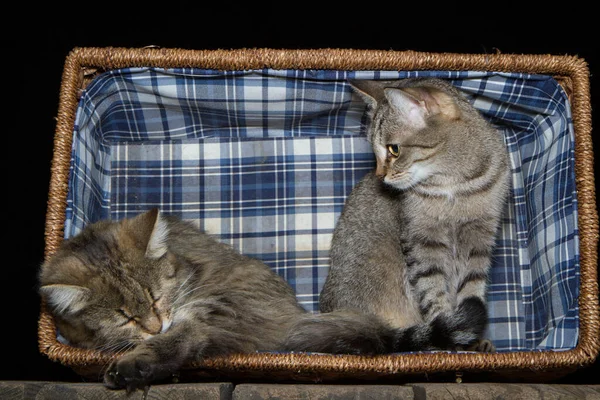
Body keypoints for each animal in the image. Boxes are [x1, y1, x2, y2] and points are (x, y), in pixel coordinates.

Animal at [41, 211, 398, 392]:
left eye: (156, 298)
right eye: (125, 317)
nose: (156, 326)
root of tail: (296, 313)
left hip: (221, 305)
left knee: (190, 337)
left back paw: (136, 367)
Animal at [318, 77, 510, 350]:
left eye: (394, 149)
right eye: (375, 152)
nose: (379, 175)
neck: (453, 185)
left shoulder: (479, 236)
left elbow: (472, 287)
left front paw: (471, 341)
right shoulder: (422, 239)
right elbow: (433, 288)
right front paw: (450, 336)